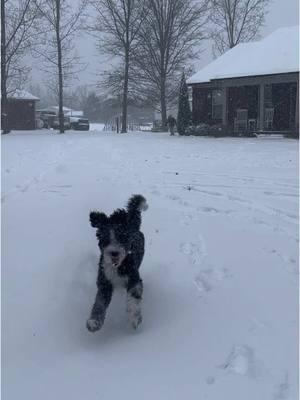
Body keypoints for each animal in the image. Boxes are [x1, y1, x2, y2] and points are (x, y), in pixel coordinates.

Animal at [86, 195, 148, 332]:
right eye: (104, 238)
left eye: (122, 237)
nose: (114, 253)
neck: (117, 267)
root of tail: (133, 226)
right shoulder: (104, 282)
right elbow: (99, 303)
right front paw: (94, 322)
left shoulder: (134, 279)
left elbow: (134, 297)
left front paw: (134, 318)